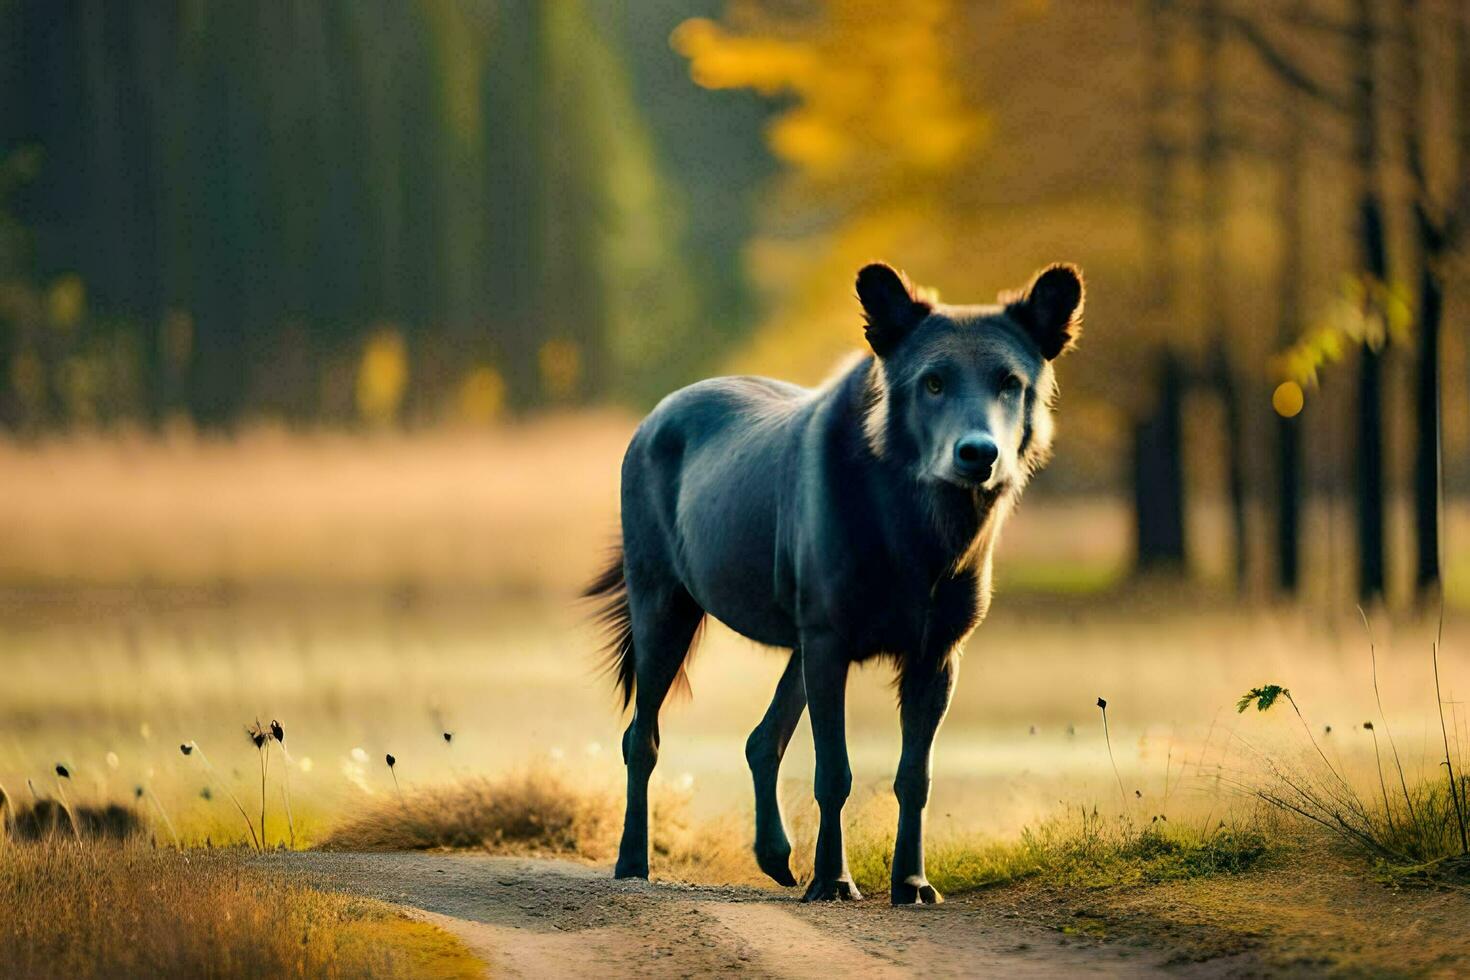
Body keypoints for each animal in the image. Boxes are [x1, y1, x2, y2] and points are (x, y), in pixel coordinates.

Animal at [582, 258, 1081, 905]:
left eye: (1010, 382)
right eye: (933, 381)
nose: (978, 454)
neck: (920, 540)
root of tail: (649, 421)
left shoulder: (937, 651)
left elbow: (914, 776)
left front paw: (912, 882)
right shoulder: (829, 640)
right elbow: (833, 773)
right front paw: (833, 879)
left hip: (788, 639)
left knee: (760, 739)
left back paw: (775, 857)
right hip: (663, 603)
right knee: (641, 738)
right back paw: (632, 861)